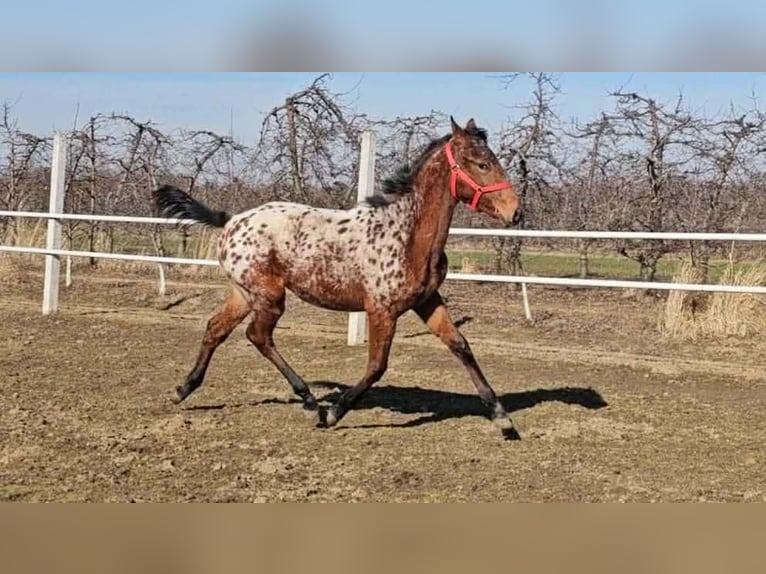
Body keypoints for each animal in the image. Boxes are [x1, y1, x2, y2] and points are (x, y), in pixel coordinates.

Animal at [153, 117, 523, 438]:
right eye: (481, 163)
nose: (515, 212)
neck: (407, 234)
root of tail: (231, 220)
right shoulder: (381, 310)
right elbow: (377, 365)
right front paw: (334, 414)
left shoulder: (428, 301)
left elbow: (461, 346)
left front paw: (504, 421)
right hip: (269, 297)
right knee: (257, 336)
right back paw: (309, 402)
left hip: (245, 294)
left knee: (216, 328)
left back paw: (182, 389)